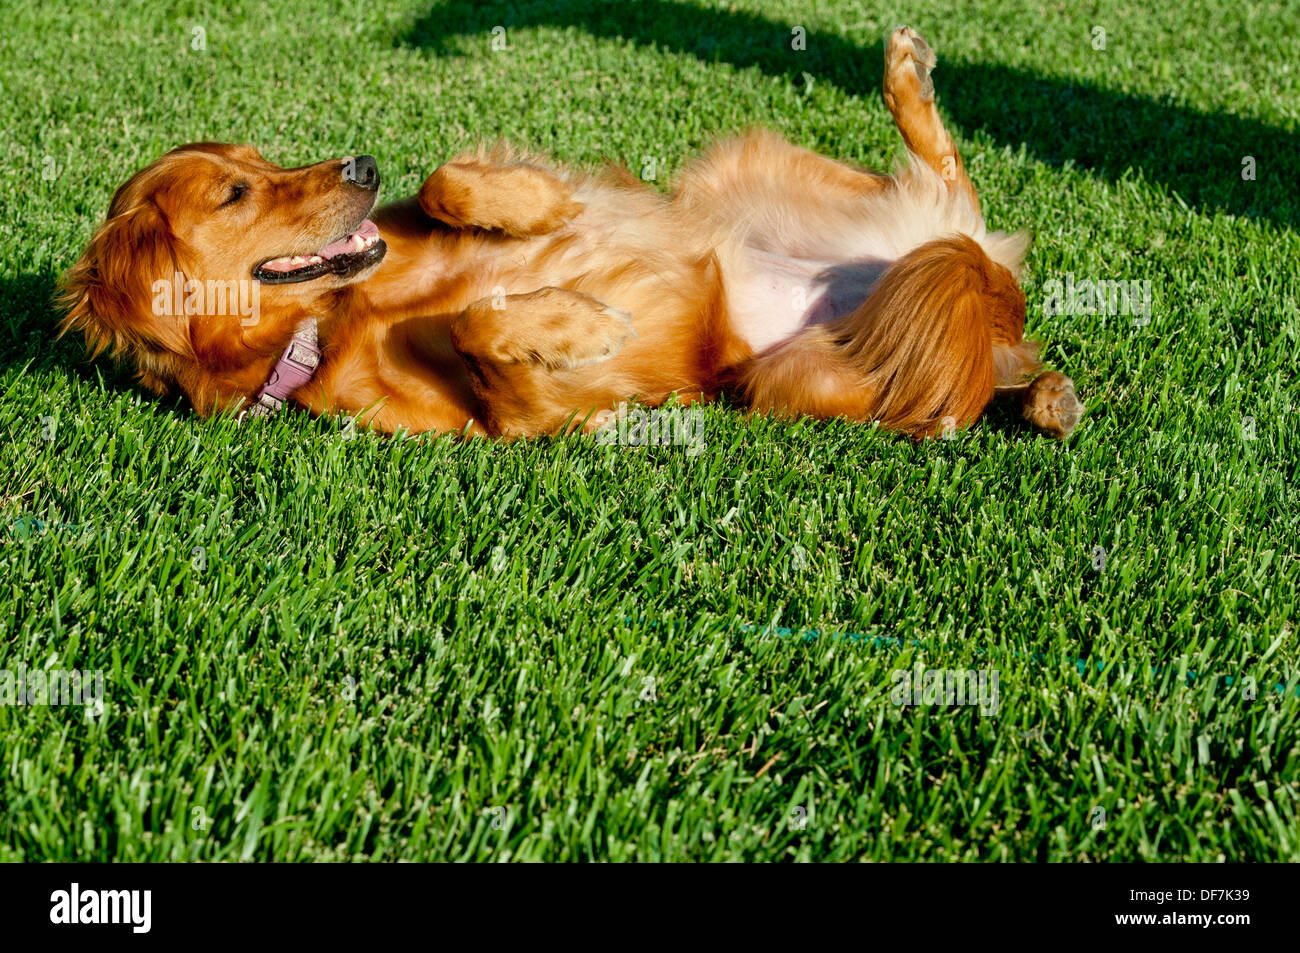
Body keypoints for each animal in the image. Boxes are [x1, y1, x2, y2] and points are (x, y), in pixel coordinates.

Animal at [55, 26, 1081, 439]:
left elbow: (451, 181)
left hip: (728, 180)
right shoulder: (521, 422)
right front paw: (580, 321)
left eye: (265, 158)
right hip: (802, 380)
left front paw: (539, 209)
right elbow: (484, 331)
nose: (361, 167)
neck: (335, 317)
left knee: (953, 184)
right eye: (236, 194)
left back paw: (906, 72)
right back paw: (1047, 394)